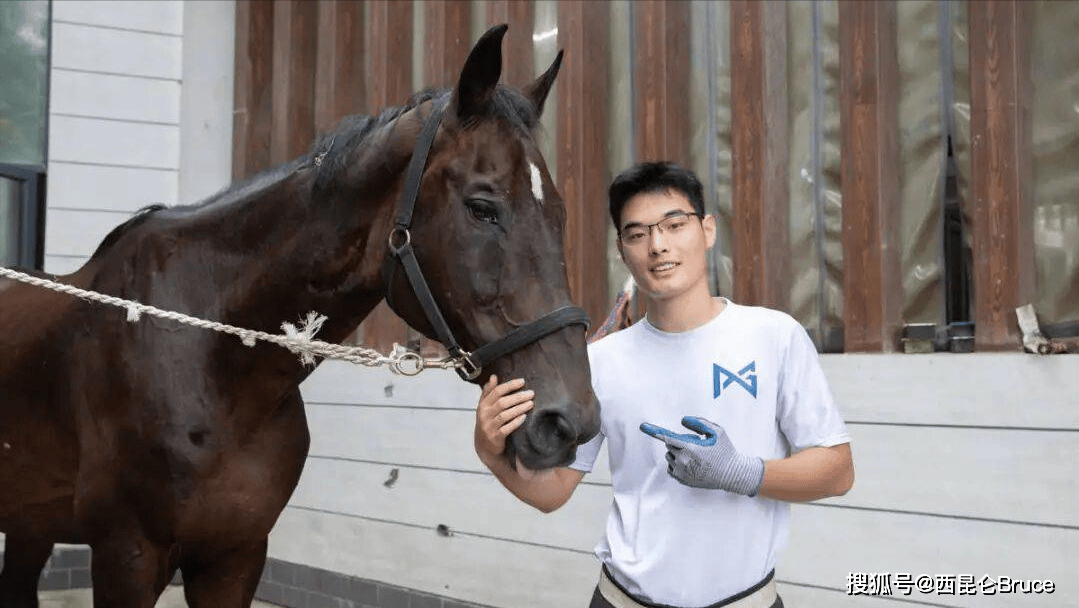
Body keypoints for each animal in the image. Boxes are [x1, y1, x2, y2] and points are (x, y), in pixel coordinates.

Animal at [0, 25, 600, 608]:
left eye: (561, 214)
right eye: (482, 207)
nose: (570, 422)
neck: (211, 361)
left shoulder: (235, 559)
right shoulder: (127, 558)